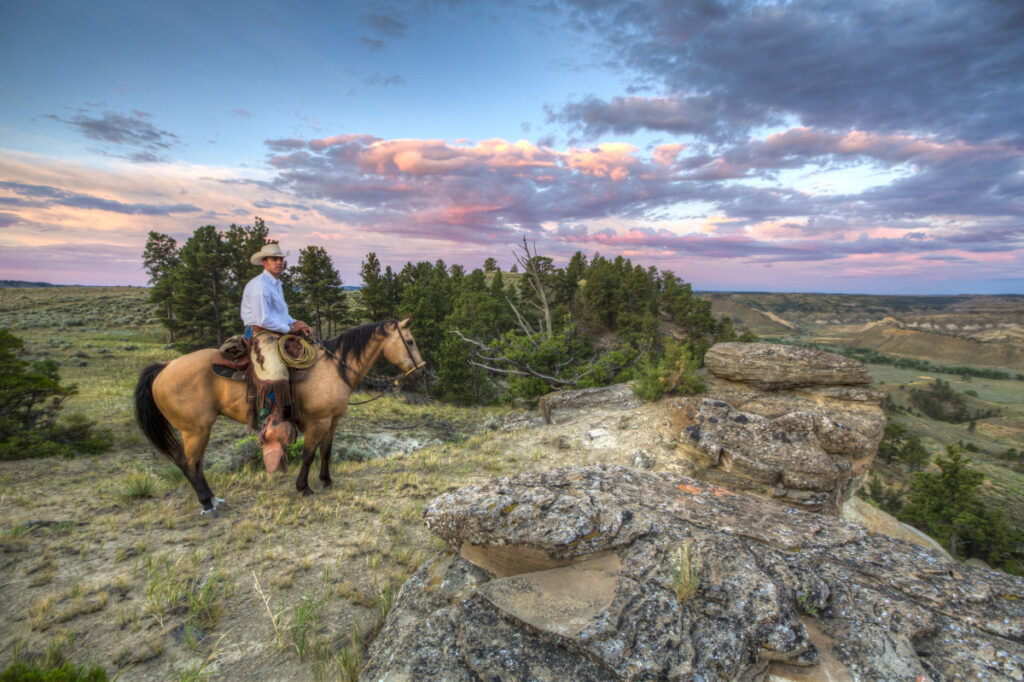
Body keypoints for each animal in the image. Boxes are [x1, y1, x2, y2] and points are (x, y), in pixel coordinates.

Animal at [135, 317, 423, 509]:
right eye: (409, 341)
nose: (421, 370)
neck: (334, 368)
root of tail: (165, 367)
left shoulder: (332, 420)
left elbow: (326, 451)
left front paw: (326, 480)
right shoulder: (318, 421)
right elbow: (308, 454)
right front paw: (303, 487)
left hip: (198, 430)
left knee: (195, 463)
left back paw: (213, 498)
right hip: (195, 429)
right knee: (186, 462)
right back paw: (207, 502)